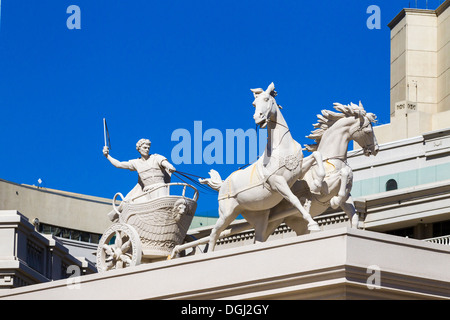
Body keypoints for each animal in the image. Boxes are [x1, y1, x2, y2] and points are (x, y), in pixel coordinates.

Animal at [200, 81, 324, 251]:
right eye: (254, 104)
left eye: (266, 99)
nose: (257, 117)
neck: (281, 146)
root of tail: (223, 184)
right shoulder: (278, 181)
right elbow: (294, 199)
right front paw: (313, 224)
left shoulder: (297, 170)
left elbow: (317, 155)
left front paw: (319, 182)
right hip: (227, 213)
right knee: (214, 233)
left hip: (259, 216)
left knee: (258, 237)